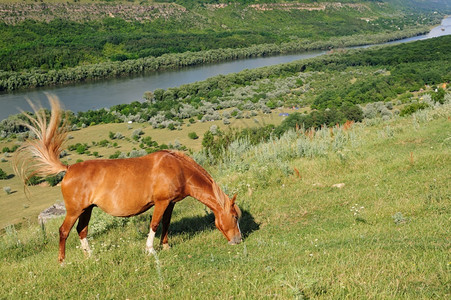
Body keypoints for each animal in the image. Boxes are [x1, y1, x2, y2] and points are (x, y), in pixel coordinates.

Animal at [12, 96, 242, 262]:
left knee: (81, 230)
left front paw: (166, 246)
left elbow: (166, 224)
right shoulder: (161, 202)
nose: (238, 240)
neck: (178, 168)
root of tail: (68, 169)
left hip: (87, 209)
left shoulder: (170, 204)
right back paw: (62, 261)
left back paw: (91, 257)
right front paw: (150, 250)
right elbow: (154, 224)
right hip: (74, 210)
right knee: (63, 231)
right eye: (235, 217)